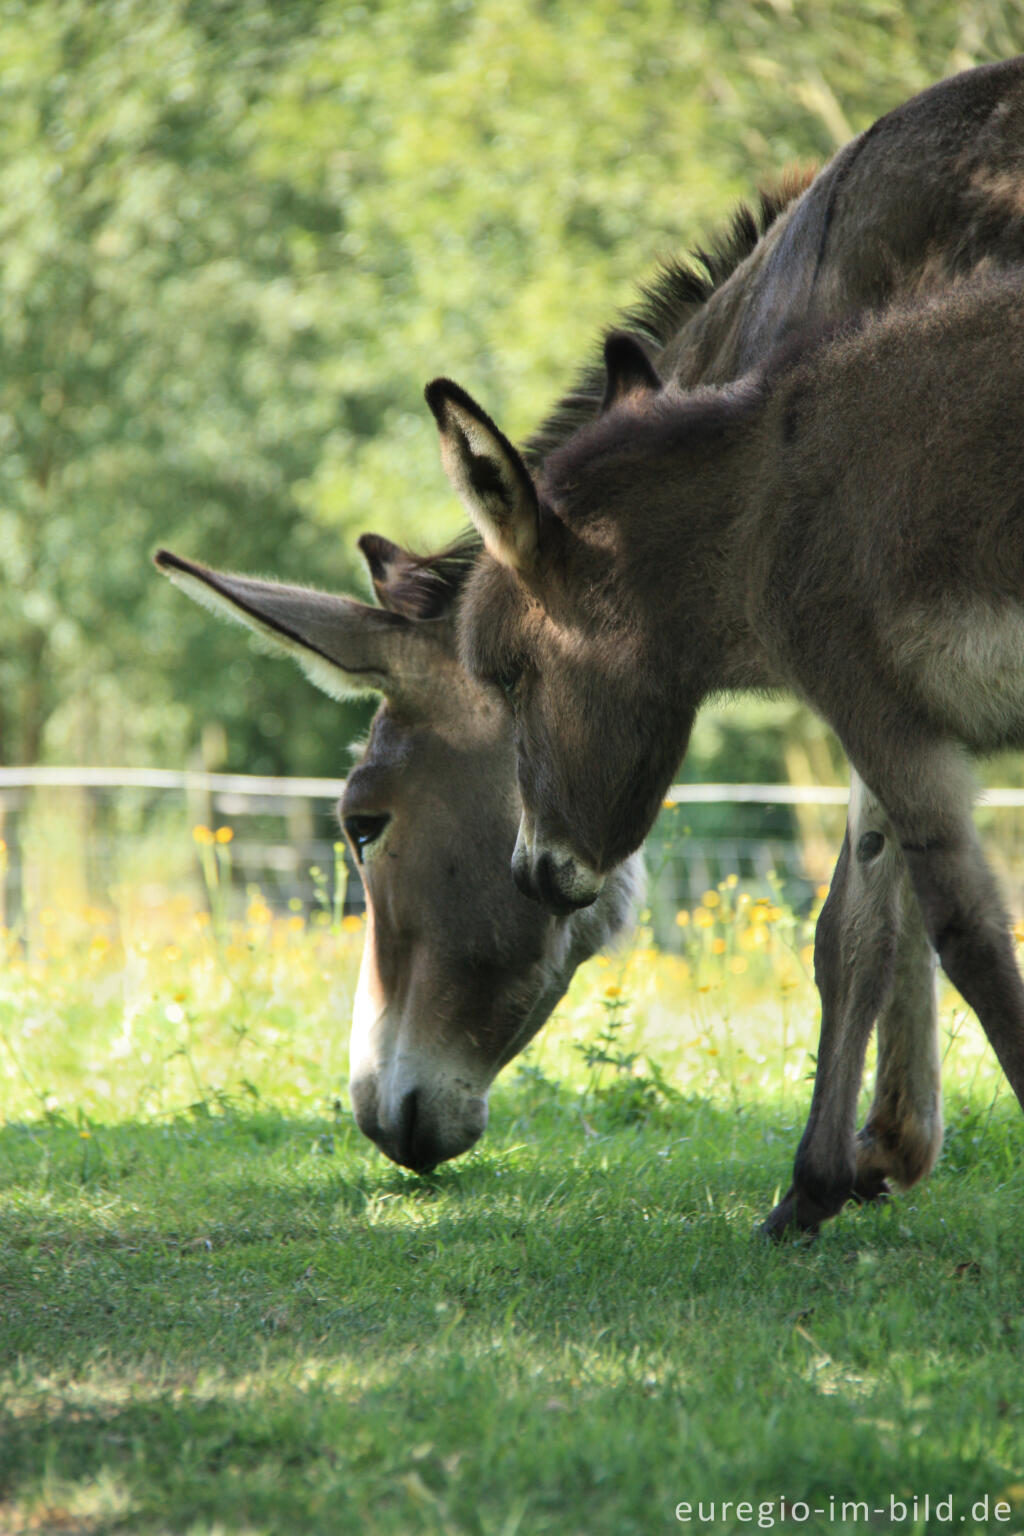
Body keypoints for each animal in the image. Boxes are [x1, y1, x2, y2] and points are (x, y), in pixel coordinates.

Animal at [436, 273, 1024, 1234]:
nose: (530, 874)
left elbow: (966, 936)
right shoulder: (883, 726)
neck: (761, 505)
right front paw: (812, 1189)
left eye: (510, 678)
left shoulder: (880, 716)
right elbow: (852, 935)